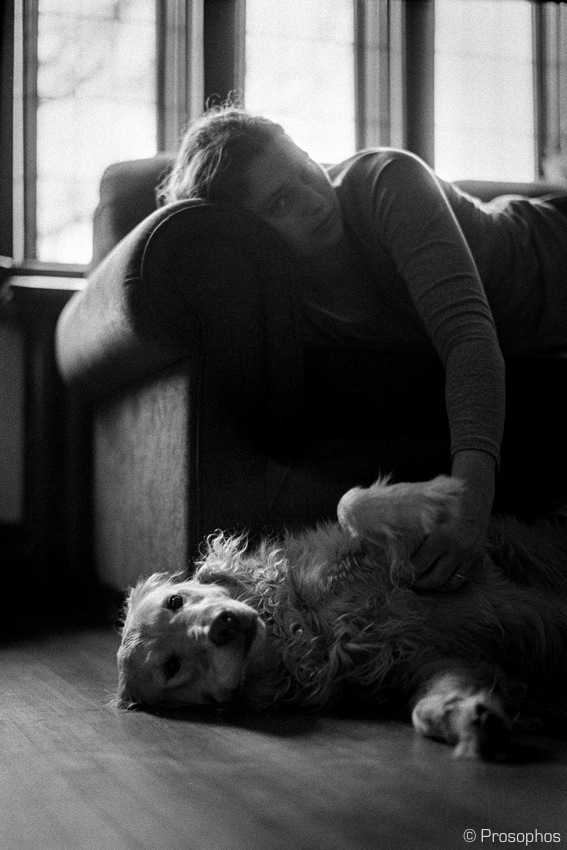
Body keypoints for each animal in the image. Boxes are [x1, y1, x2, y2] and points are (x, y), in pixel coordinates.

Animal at [116, 475, 567, 759]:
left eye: (175, 600)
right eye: (172, 667)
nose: (221, 626)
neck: (308, 627)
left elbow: (349, 503)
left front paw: (441, 497)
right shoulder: (428, 661)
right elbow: (425, 707)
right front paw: (471, 721)